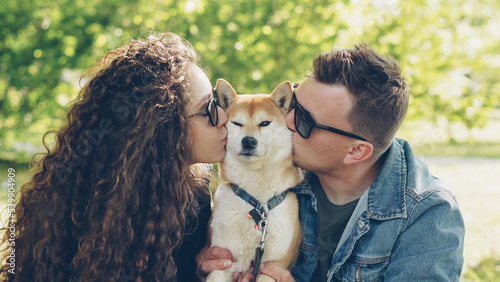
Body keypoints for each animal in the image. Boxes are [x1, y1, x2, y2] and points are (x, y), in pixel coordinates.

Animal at [206, 79, 302, 282]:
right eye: (237, 123)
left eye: (264, 123)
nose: (248, 141)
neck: (256, 202)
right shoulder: (224, 258)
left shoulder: (273, 266)